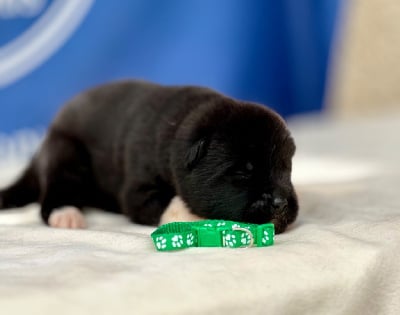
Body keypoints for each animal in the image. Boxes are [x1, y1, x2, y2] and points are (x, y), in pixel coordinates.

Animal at [0, 81, 298, 235]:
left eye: (286, 168)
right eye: (243, 172)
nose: (280, 203)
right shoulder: (137, 189)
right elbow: (165, 204)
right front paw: (189, 214)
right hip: (65, 153)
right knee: (56, 190)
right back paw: (66, 214)